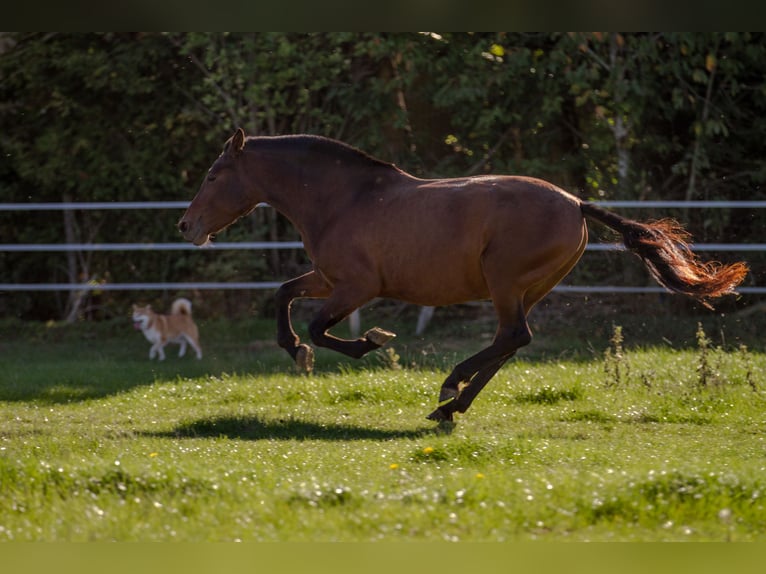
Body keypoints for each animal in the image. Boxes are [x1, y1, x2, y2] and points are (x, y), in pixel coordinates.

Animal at [178, 132, 752, 428]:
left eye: (212, 175)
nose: (186, 226)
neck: (345, 200)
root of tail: (576, 203)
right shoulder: (327, 278)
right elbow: (284, 295)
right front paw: (295, 350)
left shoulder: (356, 288)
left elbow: (323, 330)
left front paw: (370, 341)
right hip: (526, 290)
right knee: (510, 342)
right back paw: (450, 405)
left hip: (505, 282)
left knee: (512, 337)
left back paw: (449, 391)